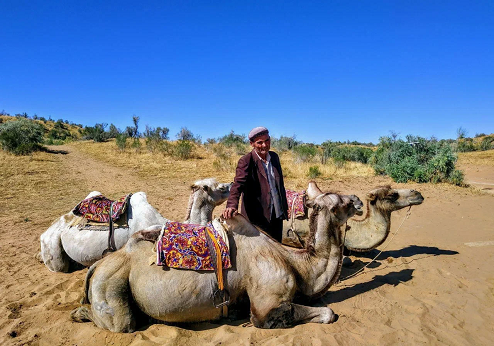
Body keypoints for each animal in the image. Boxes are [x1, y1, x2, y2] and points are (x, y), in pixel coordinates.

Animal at [69, 181, 362, 330]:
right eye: (341, 203)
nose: (358, 200)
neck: (298, 265)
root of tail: (96, 266)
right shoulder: (266, 306)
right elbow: (327, 313)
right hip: (110, 284)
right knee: (120, 323)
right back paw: (78, 314)